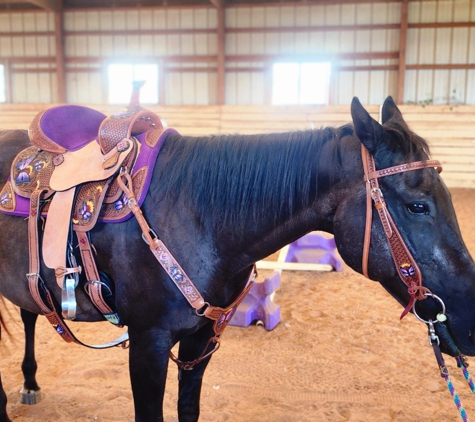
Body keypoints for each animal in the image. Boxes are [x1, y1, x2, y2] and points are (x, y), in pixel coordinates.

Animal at [0, 96, 474, 422]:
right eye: (417, 206)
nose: (469, 326)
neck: (197, 213)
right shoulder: (148, 343)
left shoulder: (201, 341)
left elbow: (189, 410)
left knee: (29, 313)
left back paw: (30, 382)